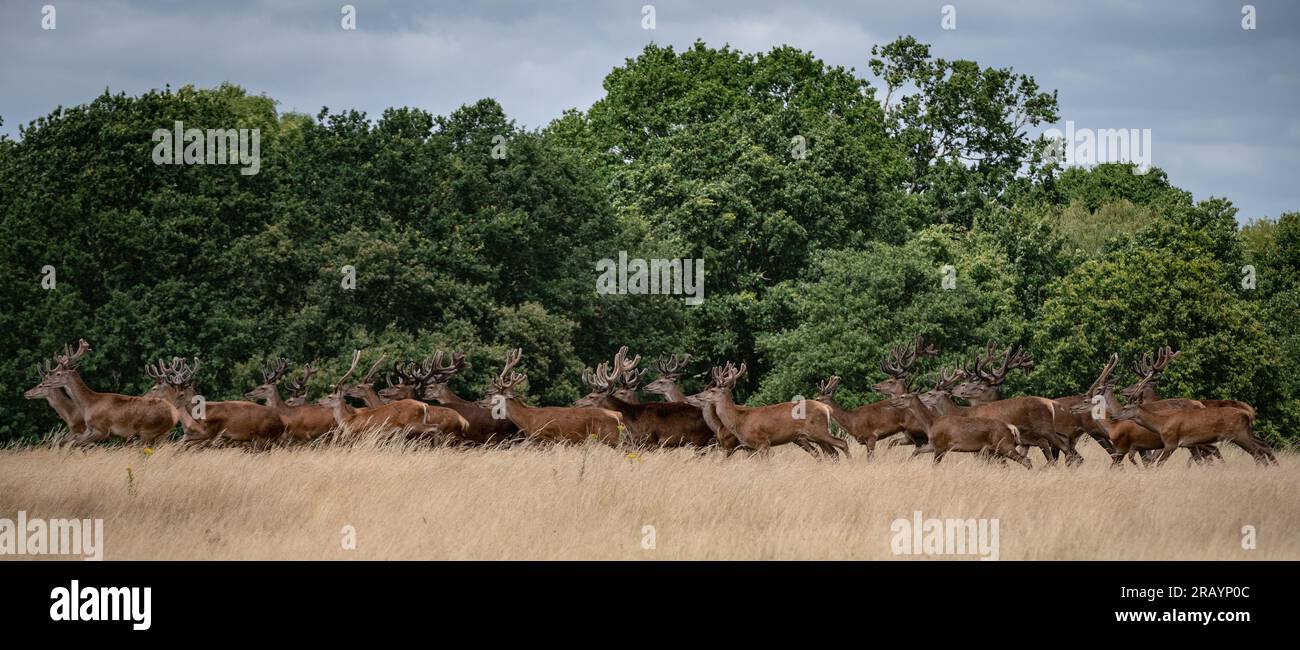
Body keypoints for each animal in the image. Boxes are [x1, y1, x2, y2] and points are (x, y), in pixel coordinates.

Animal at [32, 340, 179, 447]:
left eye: (58, 373)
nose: (44, 383)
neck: (89, 404)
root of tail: (174, 414)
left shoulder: (102, 429)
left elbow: (75, 444)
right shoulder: (88, 429)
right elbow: (69, 442)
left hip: (148, 431)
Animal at [478, 351, 624, 447]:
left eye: (493, 394)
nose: (479, 402)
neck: (529, 420)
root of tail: (617, 415)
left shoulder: (547, 438)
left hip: (610, 437)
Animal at [696, 364, 847, 460]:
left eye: (712, 390)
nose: (697, 395)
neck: (739, 420)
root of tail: (826, 408)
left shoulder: (762, 441)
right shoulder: (750, 447)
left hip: (818, 430)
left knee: (841, 444)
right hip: (812, 435)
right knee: (832, 451)